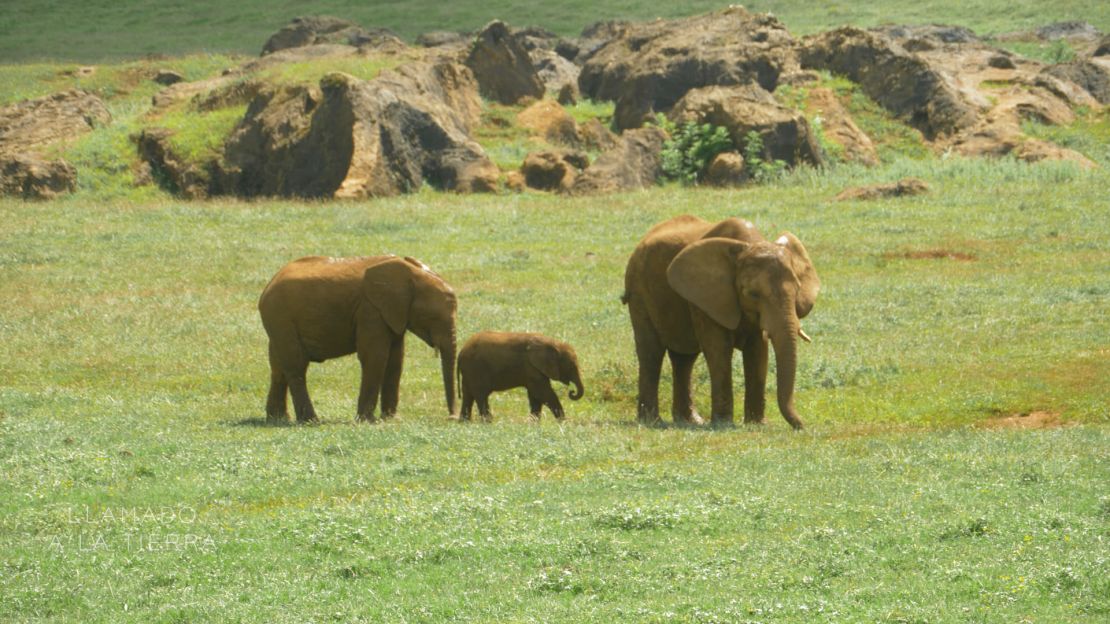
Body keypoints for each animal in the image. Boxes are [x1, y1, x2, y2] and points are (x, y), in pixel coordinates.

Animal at [457, 328, 586, 419]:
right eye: (571, 366)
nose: (572, 392)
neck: (554, 343)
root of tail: (461, 352)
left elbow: (535, 397)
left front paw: (534, 424)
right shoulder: (531, 367)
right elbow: (542, 393)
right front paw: (563, 422)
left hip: (469, 371)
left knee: (468, 395)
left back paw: (465, 422)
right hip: (476, 369)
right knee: (481, 395)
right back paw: (488, 422)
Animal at [626, 215, 816, 426]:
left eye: (797, 289)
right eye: (753, 294)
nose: (802, 426)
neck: (748, 245)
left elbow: (758, 350)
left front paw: (756, 423)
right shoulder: (704, 296)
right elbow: (718, 348)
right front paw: (723, 424)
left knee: (684, 358)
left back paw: (690, 421)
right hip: (638, 291)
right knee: (651, 353)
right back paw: (652, 421)